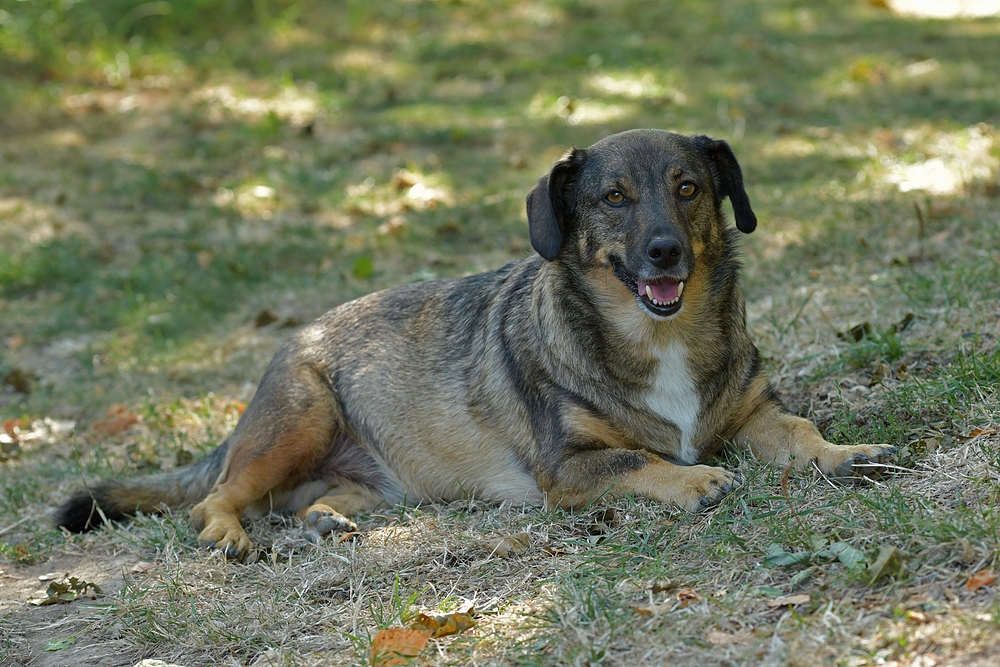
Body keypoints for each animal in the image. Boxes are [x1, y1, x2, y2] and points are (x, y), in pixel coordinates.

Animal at [58, 129, 896, 560]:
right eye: (614, 197)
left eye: (688, 187)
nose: (666, 253)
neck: (659, 336)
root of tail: (290, 346)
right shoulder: (568, 466)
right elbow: (637, 458)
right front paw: (693, 480)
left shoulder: (754, 413)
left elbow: (799, 429)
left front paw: (844, 453)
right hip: (299, 420)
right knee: (214, 500)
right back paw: (230, 534)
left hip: (370, 478)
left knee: (309, 501)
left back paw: (327, 521)